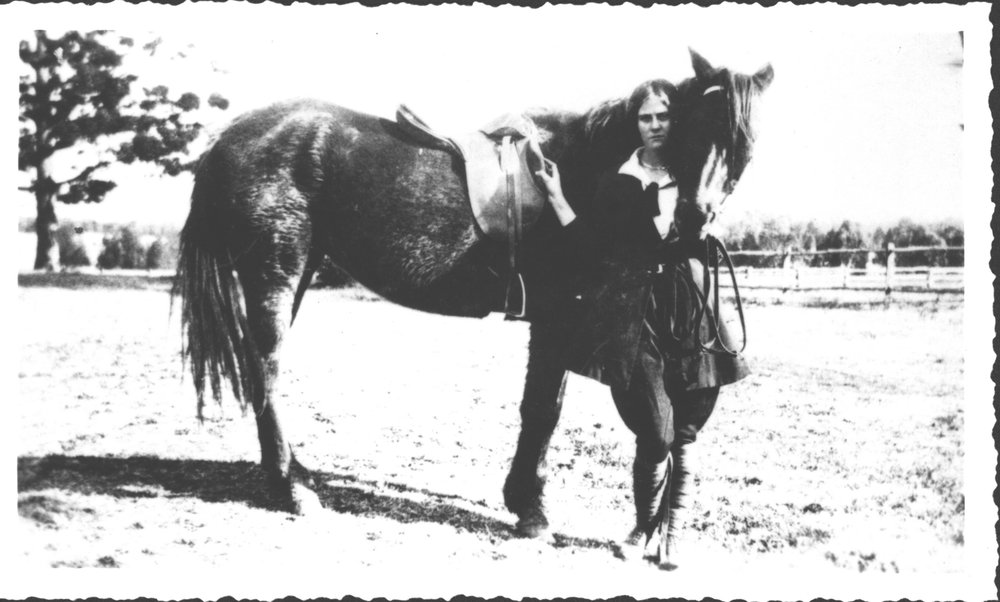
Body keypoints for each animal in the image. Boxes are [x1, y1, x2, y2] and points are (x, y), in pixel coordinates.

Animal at [174, 49, 773, 558]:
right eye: (692, 127)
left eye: (744, 144)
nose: (694, 221)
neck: (585, 171)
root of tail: (229, 137)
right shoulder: (554, 317)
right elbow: (541, 411)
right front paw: (531, 512)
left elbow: (547, 408)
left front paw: (523, 501)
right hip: (276, 272)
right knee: (268, 367)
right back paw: (294, 490)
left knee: (259, 370)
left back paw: (292, 478)